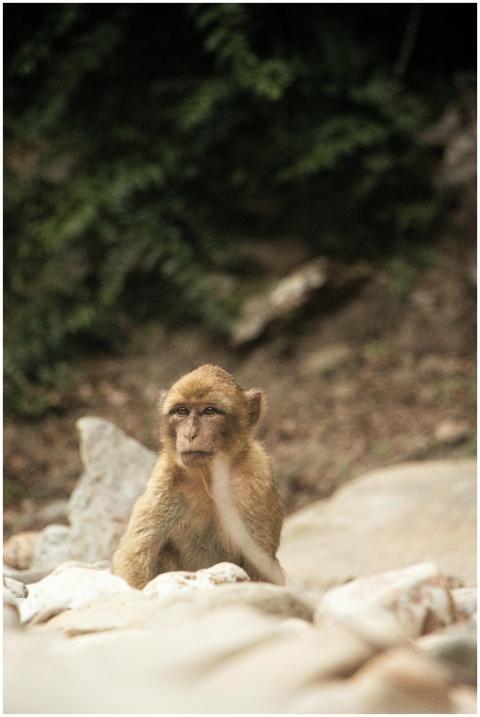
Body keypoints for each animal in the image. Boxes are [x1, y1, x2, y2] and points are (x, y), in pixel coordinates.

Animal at [111, 364, 284, 589]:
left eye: (209, 411)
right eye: (181, 411)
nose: (190, 434)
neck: (208, 478)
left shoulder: (258, 478)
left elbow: (261, 564)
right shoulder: (163, 479)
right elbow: (135, 553)